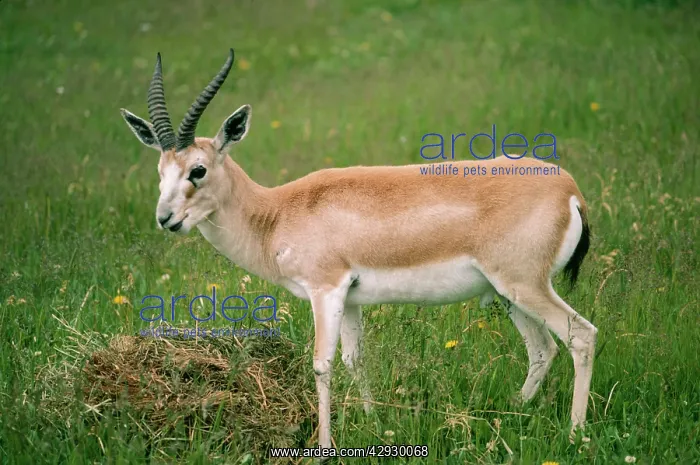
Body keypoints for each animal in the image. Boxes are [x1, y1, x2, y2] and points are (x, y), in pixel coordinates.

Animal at [121, 49, 596, 449]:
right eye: (161, 170)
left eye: (198, 170)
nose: (166, 218)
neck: (277, 212)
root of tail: (569, 189)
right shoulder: (350, 299)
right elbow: (355, 360)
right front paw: (372, 420)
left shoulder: (325, 289)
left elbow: (322, 364)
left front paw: (325, 445)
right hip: (506, 294)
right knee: (543, 349)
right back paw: (512, 411)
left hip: (524, 286)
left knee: (581, 336)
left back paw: (575, 434)